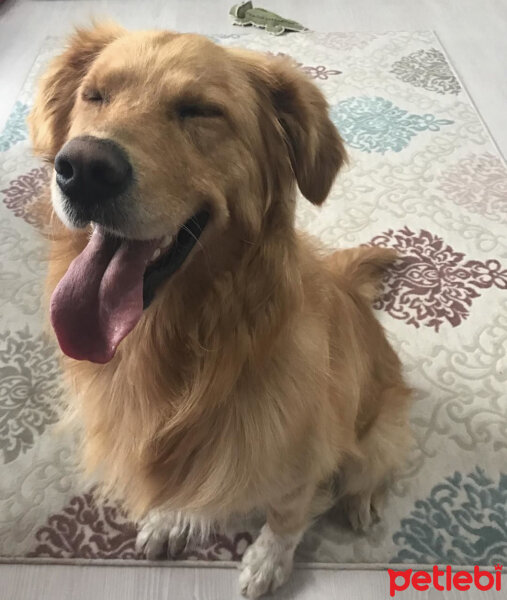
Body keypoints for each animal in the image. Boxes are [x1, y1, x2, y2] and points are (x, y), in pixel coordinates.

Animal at [28, 22, 412, 596]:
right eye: (94, 96)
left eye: (199, 111)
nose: (83, 169)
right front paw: (173, 518)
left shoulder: (303, 453)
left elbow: (287, 517)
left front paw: (266, 563)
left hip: (380, 423)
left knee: (371, 466)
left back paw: (361, 498)